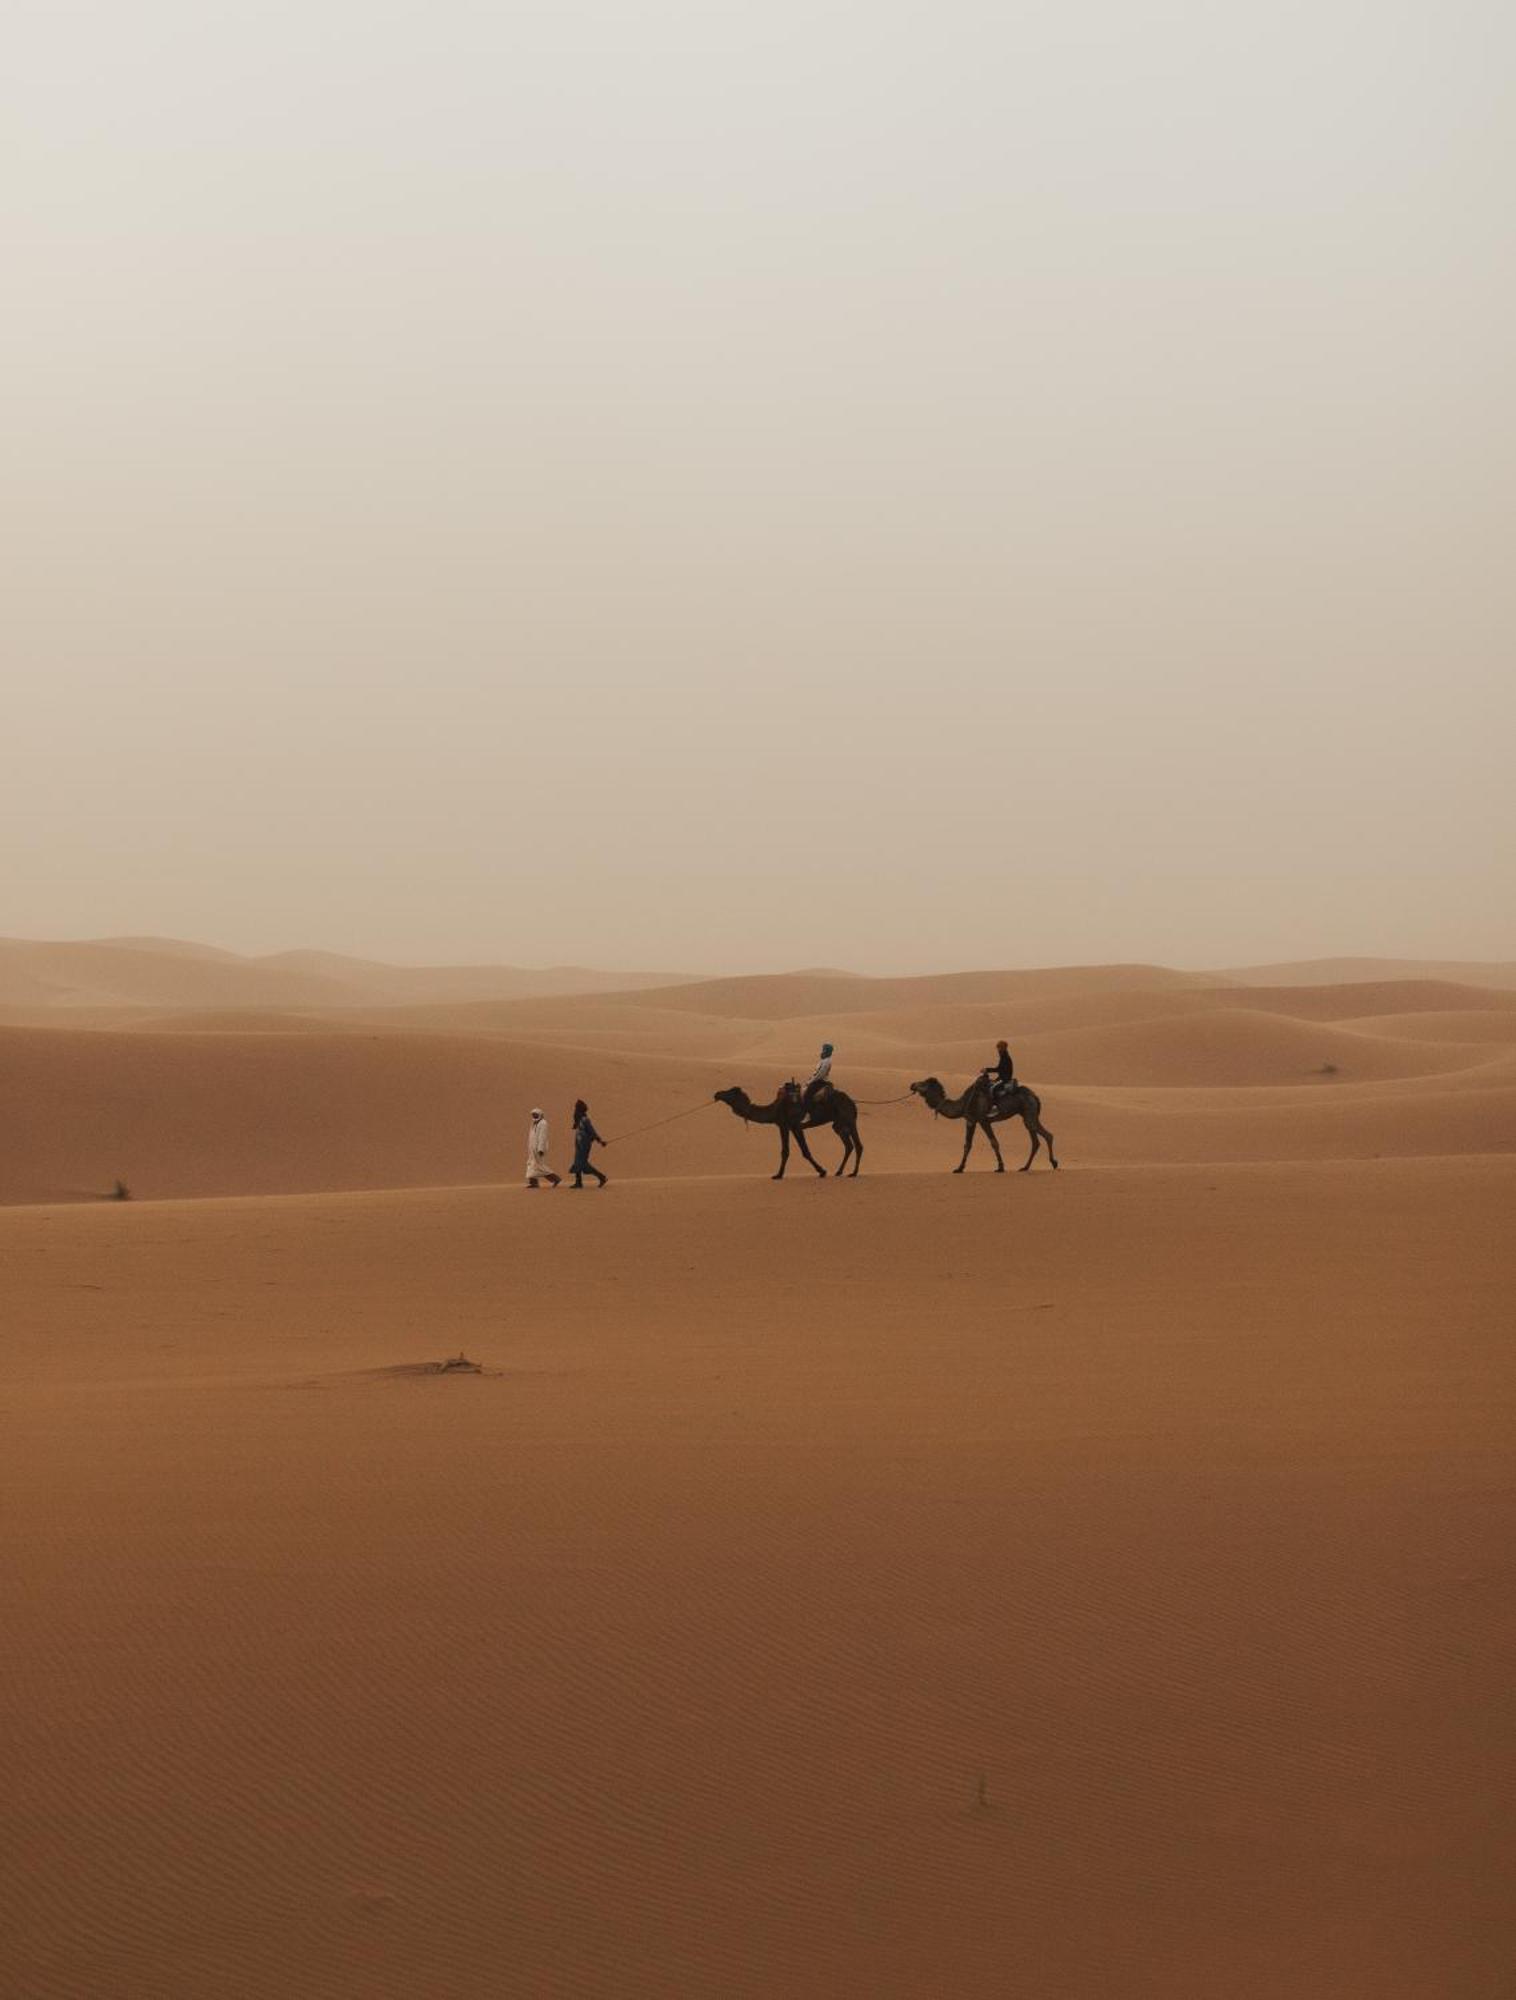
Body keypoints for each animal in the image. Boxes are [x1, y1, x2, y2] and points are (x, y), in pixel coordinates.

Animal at [716, 1088, 868, 1176]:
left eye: (730, 1092)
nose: (717, 1094)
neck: (774, 1109)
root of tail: (852, 1101)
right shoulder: (788, 1126)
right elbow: (795, 1151)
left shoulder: (790, 1125)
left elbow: (797, 1151)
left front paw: (778, 1175)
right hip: (838, 1125)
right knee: (849, 1145)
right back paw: (839, 1171)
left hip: (848, 1119)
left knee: (858, 1145)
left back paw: (854, 1173)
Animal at [908, 1080, 1064, 1168]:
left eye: (923, 1084)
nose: (912, 1085)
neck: (963, 1104)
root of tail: (1035, 1096)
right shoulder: (971, 1120)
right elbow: (967, 1144)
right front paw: (959, 1168)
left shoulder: (983, 1120)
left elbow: (994, 1142)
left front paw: (1000, 1167)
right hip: (1027, 1115)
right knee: (1036, 1140)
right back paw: (1025, 1167)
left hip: (1029, 1112)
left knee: (1046, 1135)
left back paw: (1053, 1163)